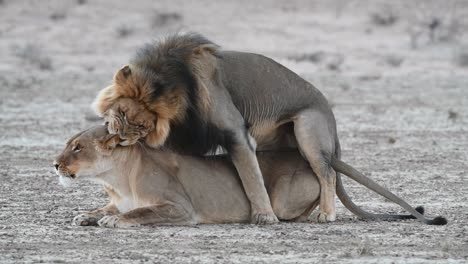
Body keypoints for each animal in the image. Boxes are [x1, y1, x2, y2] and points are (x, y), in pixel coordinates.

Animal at [53, 126, 448, 227]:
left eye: (77, 147)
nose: (54, 165)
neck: (116, 179)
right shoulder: (114, 198)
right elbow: (105, 208)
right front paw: (86, 216)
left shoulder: (181, 209)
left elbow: (139, 212)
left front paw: (113, 222)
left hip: (283, 198)